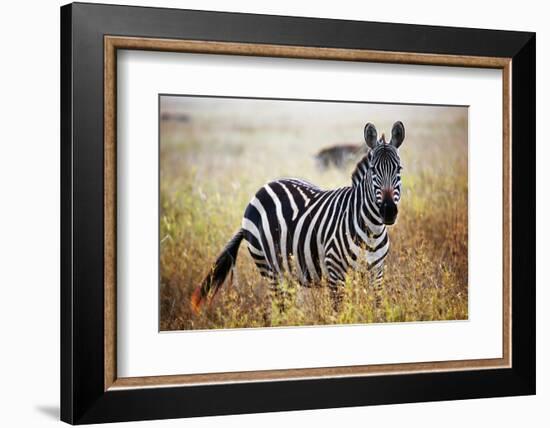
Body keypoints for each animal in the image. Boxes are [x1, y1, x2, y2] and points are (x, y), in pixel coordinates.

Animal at [193, 122, 406, 312]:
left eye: (399, 169)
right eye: (373, 170)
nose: (388, 211)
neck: (372, 230)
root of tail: (265, 186)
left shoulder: (377, 273)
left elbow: (377, 309)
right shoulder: (335, 272)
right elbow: (340, 313)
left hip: (288, 272)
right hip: (269, 268)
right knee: (278, 310)